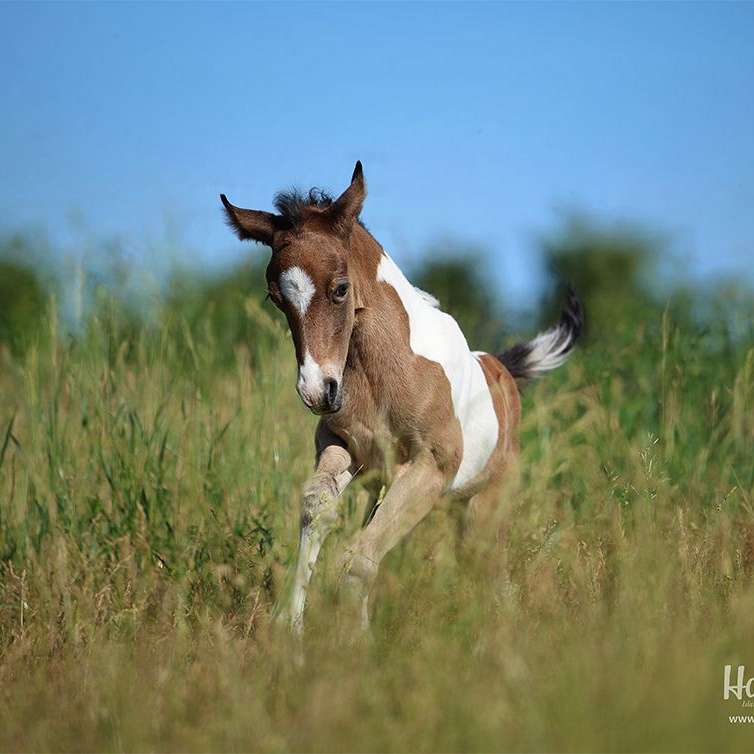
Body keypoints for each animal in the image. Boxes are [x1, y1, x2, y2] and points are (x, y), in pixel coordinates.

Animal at [220, 162, 583, 633]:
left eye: (340, 288)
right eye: (276, 297)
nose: (318, 391)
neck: (382, 373)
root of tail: (502, 371)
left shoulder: (431, 467)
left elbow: (357, 559)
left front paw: (353, 641)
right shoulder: (345, 448)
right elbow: (317, 508)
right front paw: (290, 626)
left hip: (484, 505)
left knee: (489, 570)